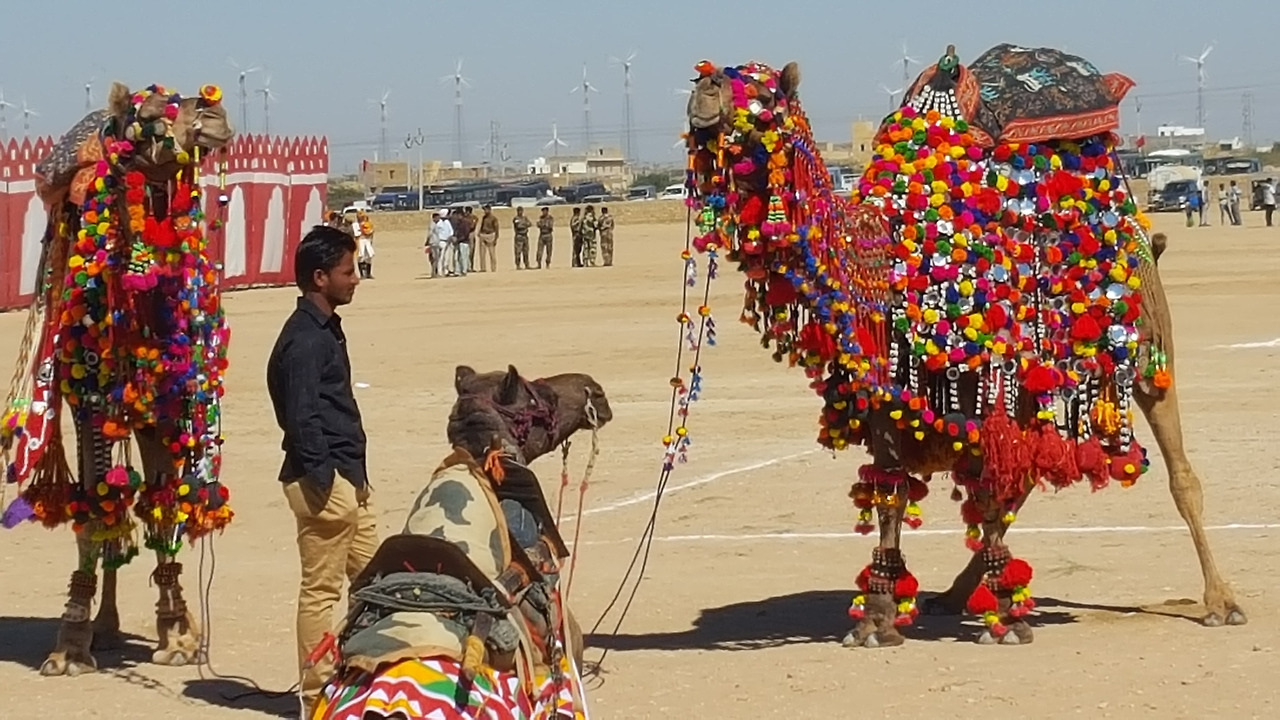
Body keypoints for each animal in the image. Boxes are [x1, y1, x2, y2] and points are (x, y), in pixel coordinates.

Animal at [0, 81, 235, 676]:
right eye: (147, 114)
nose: (214, 113)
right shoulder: (90, 402)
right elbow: (92, 507)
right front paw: (69, 644)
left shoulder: (165, 405)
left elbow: (165, 503)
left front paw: (176, 633)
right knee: (107, 504)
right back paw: (102, 626)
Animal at [682, 51, 1244, 648]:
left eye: (766, 97)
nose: (705, 89)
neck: (884, 256)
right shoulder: (890, 388)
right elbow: (892, 491)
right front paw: (879, 618)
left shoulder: (986, 376)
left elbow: (986, 490)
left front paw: (1008, 620)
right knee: (1019, 483)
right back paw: (956, 594)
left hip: (1146, 349)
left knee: (1179, 472)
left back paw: (1221, 602)